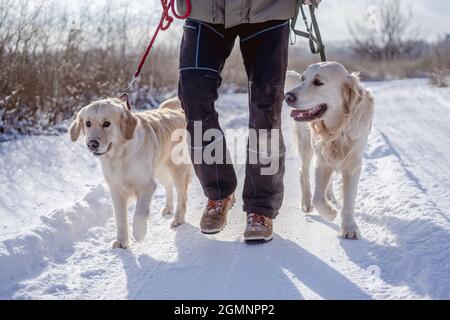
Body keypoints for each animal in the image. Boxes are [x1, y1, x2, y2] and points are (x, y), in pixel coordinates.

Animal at [69, 96, 191, 249]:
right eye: (88, 123)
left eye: (106, 123)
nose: (92, 144)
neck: (120, 157)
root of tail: (178, 113)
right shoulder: (116, 190)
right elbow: (120, 218)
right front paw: (122, 241)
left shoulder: (146, 186)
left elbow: (139, 213)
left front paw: (139, 233)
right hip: (160, 170)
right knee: (168, 185)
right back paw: (168, 208)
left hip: (177, 169)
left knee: (182, 196)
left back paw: (178, 219)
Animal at [284, 62, 376, 240]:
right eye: (303, 79)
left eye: (318, 82)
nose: (287, 97)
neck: (338, 129)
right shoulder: (322, 160)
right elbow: (317, 198)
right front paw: (331, 213)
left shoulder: (353, 164)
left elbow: (349, 199)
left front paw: (349, 227)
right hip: (305, 145)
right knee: (303, 173)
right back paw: (306, 203)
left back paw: (330, 195)